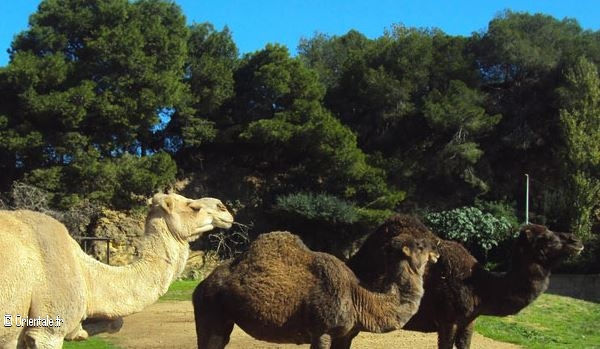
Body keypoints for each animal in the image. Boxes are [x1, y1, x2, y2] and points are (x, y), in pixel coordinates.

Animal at [193, 230, 440, 346]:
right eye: (420, 245)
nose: (437, 247)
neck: (359, 298)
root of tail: (201, 286)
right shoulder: (322, 331)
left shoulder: (345, 335)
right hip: (210, 309)